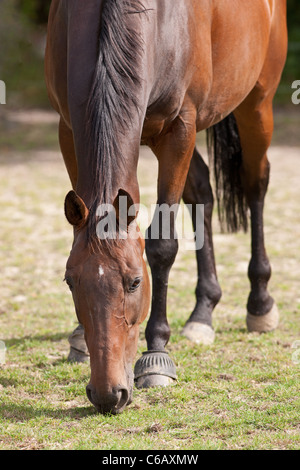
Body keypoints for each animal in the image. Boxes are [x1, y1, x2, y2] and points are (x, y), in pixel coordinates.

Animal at [44, 0, 286, 414]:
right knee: (203, 191)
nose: (108, 394)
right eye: (70, 281)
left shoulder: (179, 130)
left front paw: (156, 354)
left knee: (256, 185)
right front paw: (78, 338)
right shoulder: (68, 127)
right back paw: (203, 311)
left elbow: (162, 247)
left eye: (134, 282)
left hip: (257, 103)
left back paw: (260, 303)